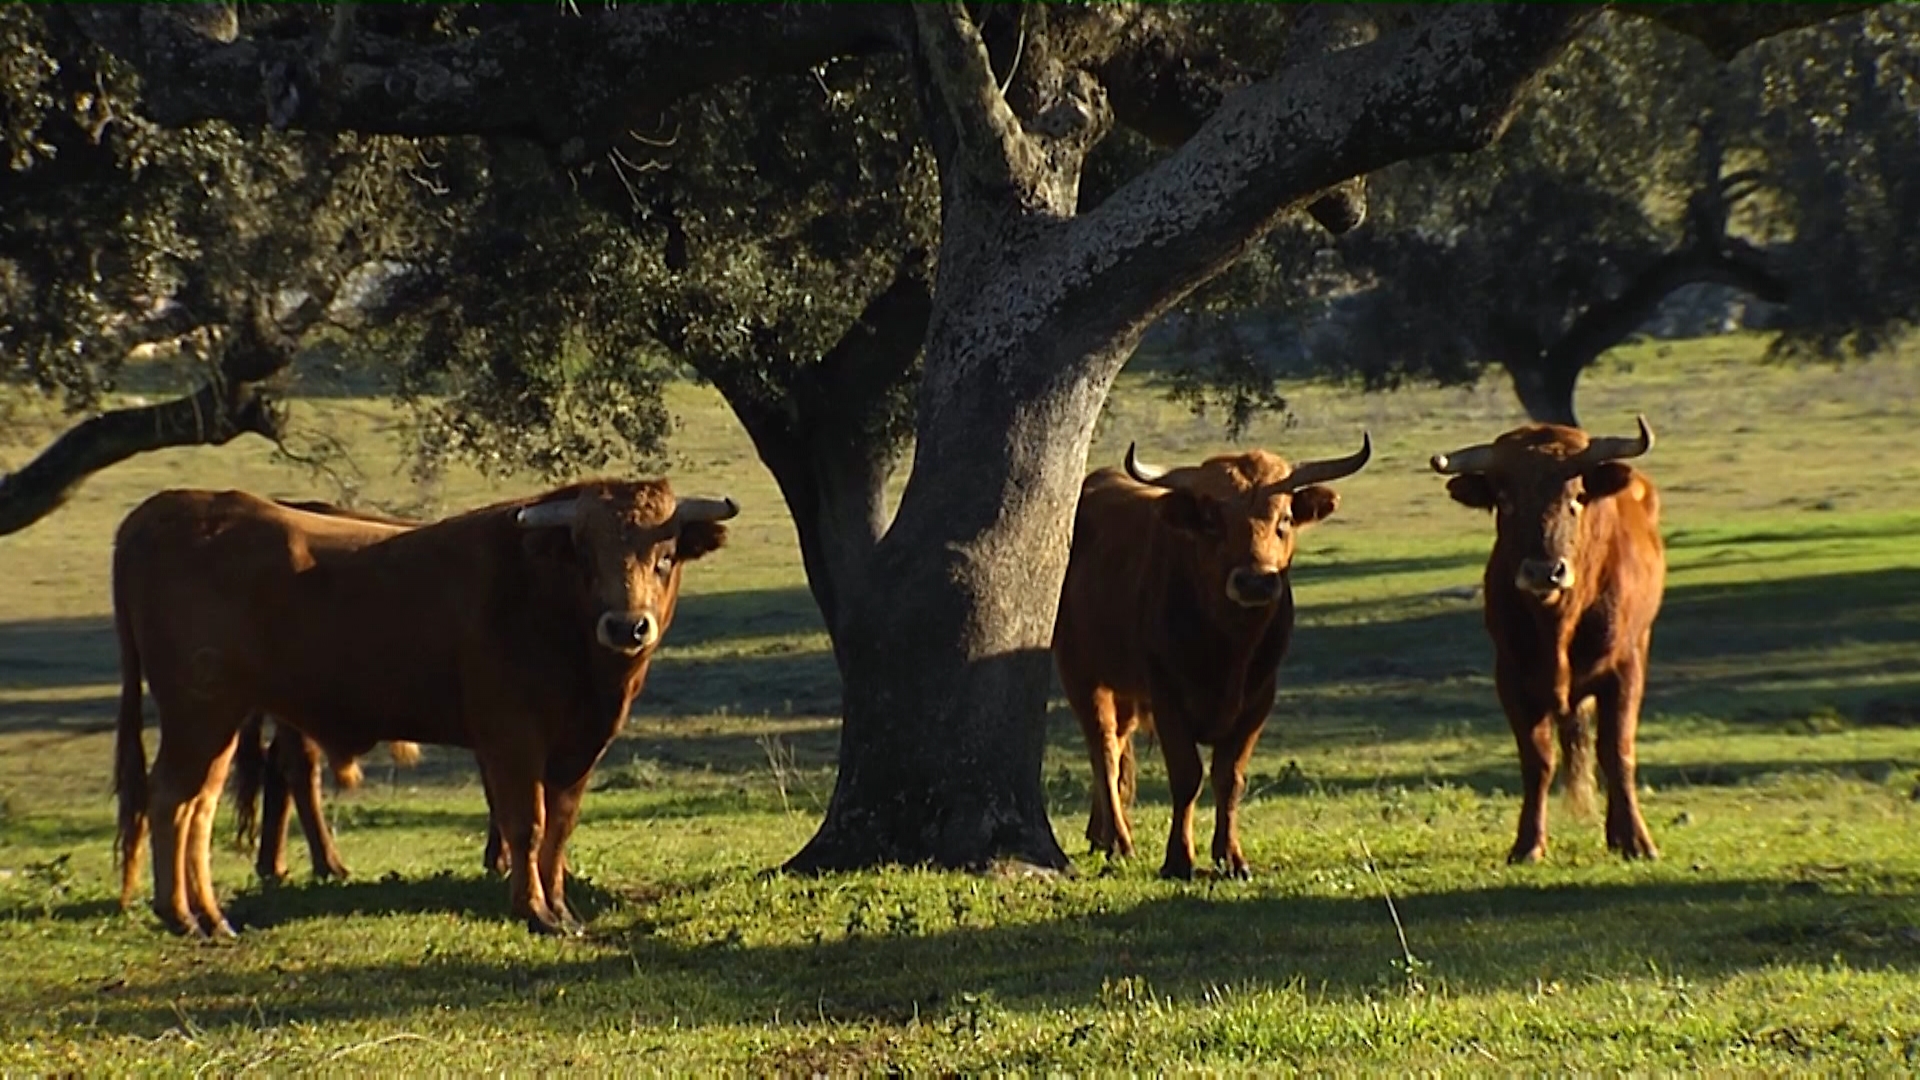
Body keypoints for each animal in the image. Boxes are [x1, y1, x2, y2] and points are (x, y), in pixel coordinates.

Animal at [110, 474, 733, 930]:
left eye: (666, 554)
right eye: (584, 553)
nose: (627, 626)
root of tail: (167, 510)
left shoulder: (577, 747)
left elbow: (559, 827)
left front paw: (561, 908)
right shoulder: (512, 739)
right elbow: (526, 824)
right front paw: (534, 911)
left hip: (223, 718)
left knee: (201, 805)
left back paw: (211, 916)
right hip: (198, 713)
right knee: (171, 799)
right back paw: (182, 916)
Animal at [1059, 428, 1374, 876]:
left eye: (1285, 519)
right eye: (1212, 522)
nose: (1255, 582)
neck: (1228, 648)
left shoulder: (1258, 700)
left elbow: (1230, 777)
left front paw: (1231, 855)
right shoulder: (1166, 696)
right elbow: (1186, 776)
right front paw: (1178, 859)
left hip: (1123, 688)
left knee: (1117, 748)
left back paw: (1100, 834)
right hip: (1082, 674)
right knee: (1102, 751)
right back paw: (1119, 840)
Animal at [1428, 417, 1666, 860]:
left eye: (1577, 496)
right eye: (1504, 499)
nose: (1543, 571)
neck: (1558, 621)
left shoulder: (1624, 671)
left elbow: (1617, 751)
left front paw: (1635, 839)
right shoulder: (1511, 677)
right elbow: (1537, 759)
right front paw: (1527, 844)